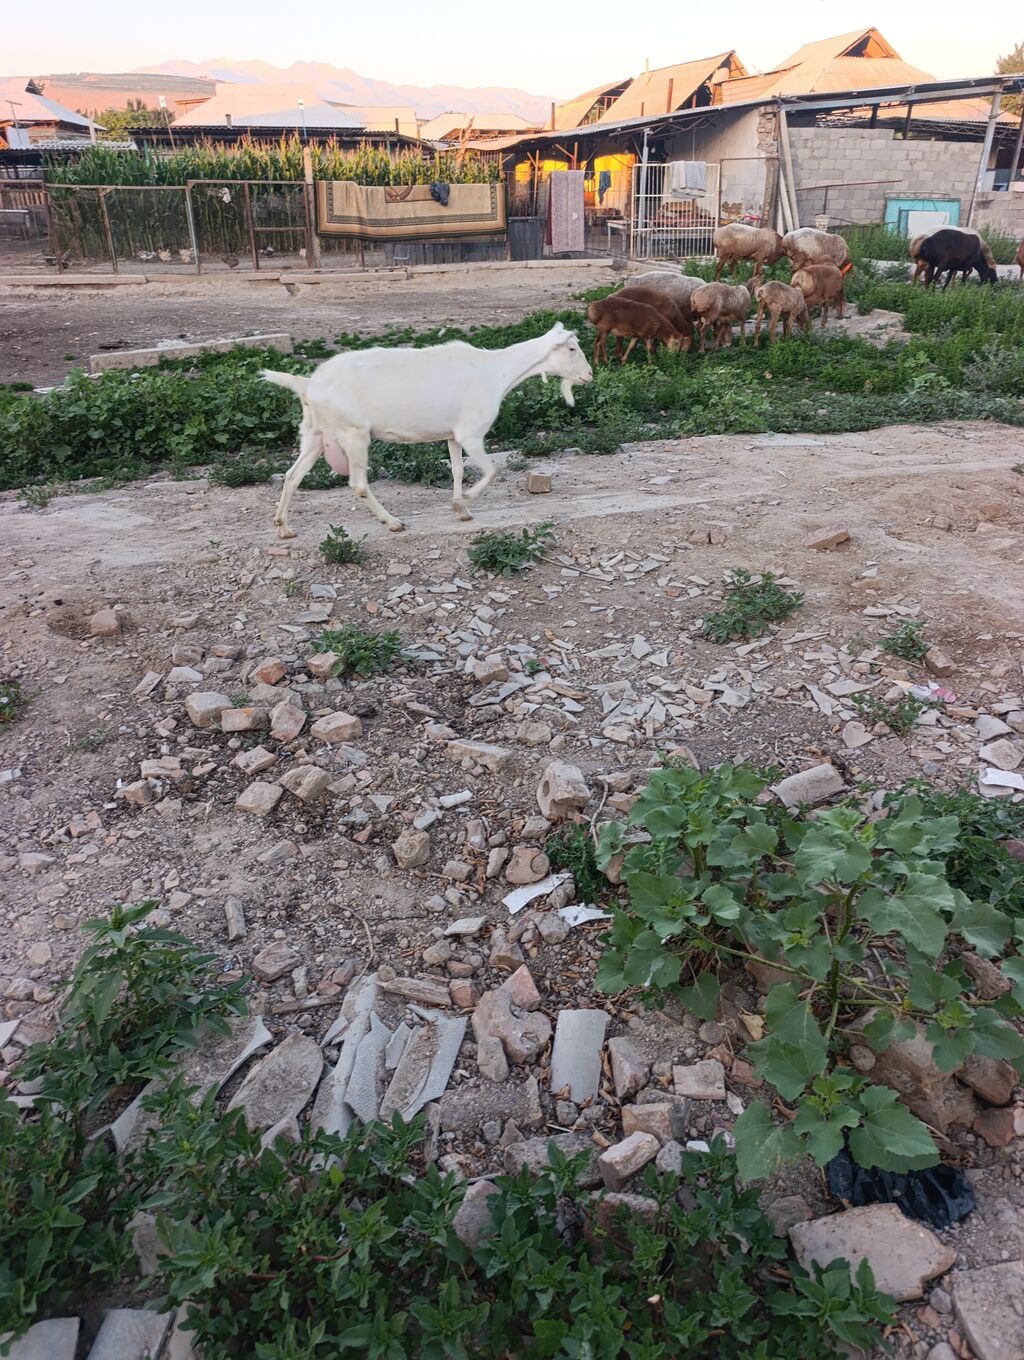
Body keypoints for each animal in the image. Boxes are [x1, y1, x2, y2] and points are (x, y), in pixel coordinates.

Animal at [261, 322, 591, 537]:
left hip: (315, 433)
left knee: (292, 476)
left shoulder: (453, 435)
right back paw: (393, 522)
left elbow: (458, 470)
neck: (497, 372)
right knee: (357, 483)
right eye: (572, 348)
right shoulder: (471, 433)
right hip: (354, 433)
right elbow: (491, 471)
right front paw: (464, 501)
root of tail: (308, 385)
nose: (589, 374)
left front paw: (461, 509)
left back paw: (283, 527)